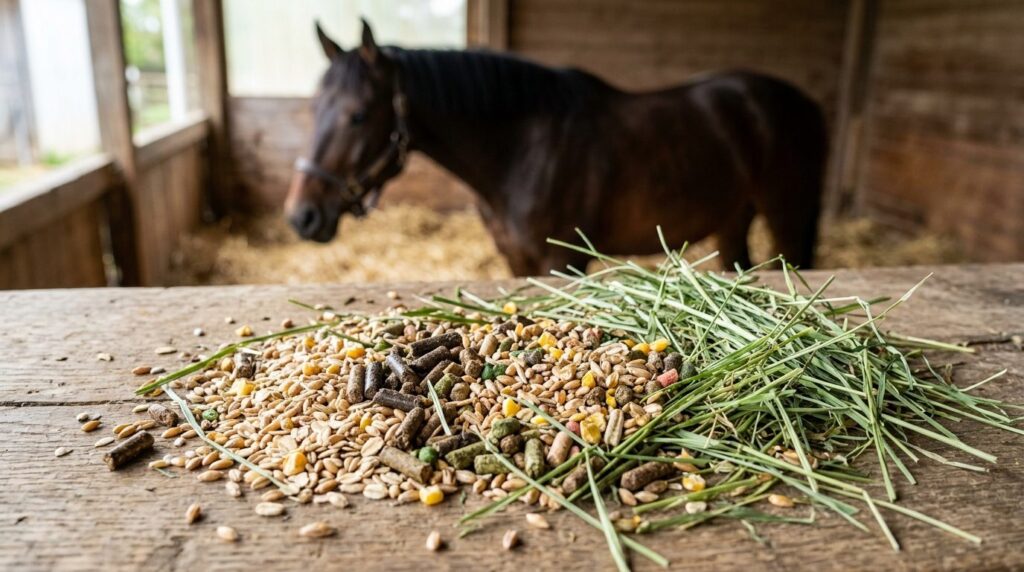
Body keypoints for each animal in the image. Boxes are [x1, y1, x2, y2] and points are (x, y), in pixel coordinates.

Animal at [285, 20, 827, 275]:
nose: (302, 217)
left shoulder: (560, 261)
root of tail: (805, 104)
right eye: (314, 108)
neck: (520, 150)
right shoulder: (516, 260)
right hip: (733, 219)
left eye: (358, 114)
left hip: (786, 216)